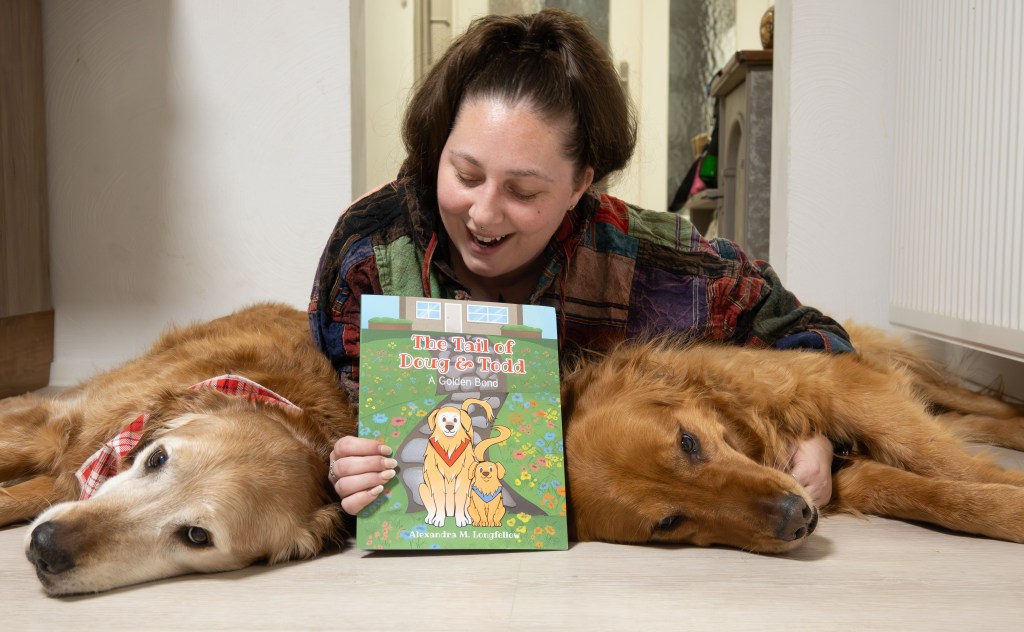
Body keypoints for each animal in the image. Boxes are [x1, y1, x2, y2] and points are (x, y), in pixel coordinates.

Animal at [419, 398, 493, 527]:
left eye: (455, 419)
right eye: (443, 419)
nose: (449, 426)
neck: (449, 443)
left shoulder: (463, 479)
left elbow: (460, 499)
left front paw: (461, 519)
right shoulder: (436, 477)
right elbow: (438, 500)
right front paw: (438, 519)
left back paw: (469, 518)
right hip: (422, 487)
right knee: (432, 507)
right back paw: (430, 517)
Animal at [561, 323, 1024, 553]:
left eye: (688, 443)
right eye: (668, 523)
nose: (796, 517)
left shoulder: (843, 387)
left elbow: (936, 459)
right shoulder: (843, 479)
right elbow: (934, 496)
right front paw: (1006, 509)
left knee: (983, 406)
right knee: (965, 420)